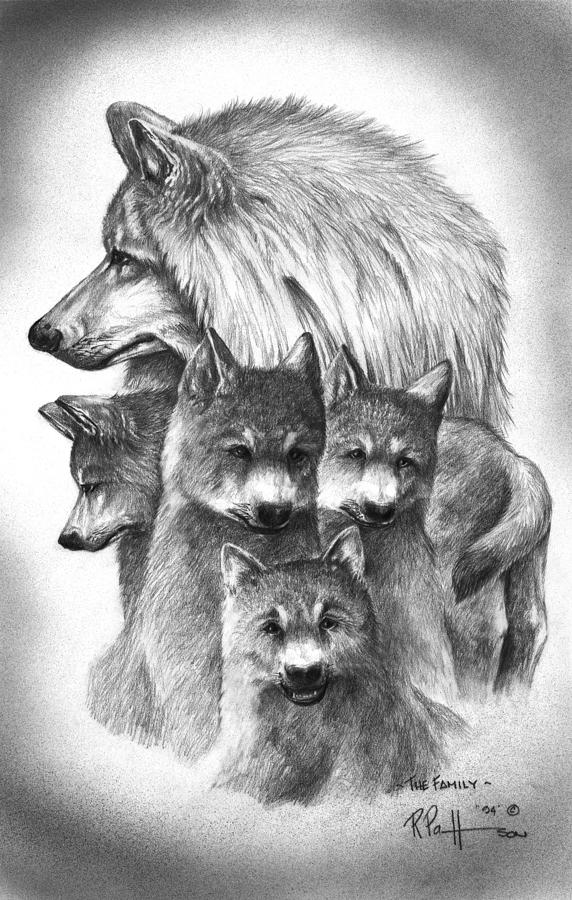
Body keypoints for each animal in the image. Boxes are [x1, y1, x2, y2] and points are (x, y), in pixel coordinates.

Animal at [321, 348, 551, 696]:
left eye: (404, 461)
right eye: (356, 454)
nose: (380, 510)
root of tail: (512, 458)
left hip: (453, 590)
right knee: (529, 629)